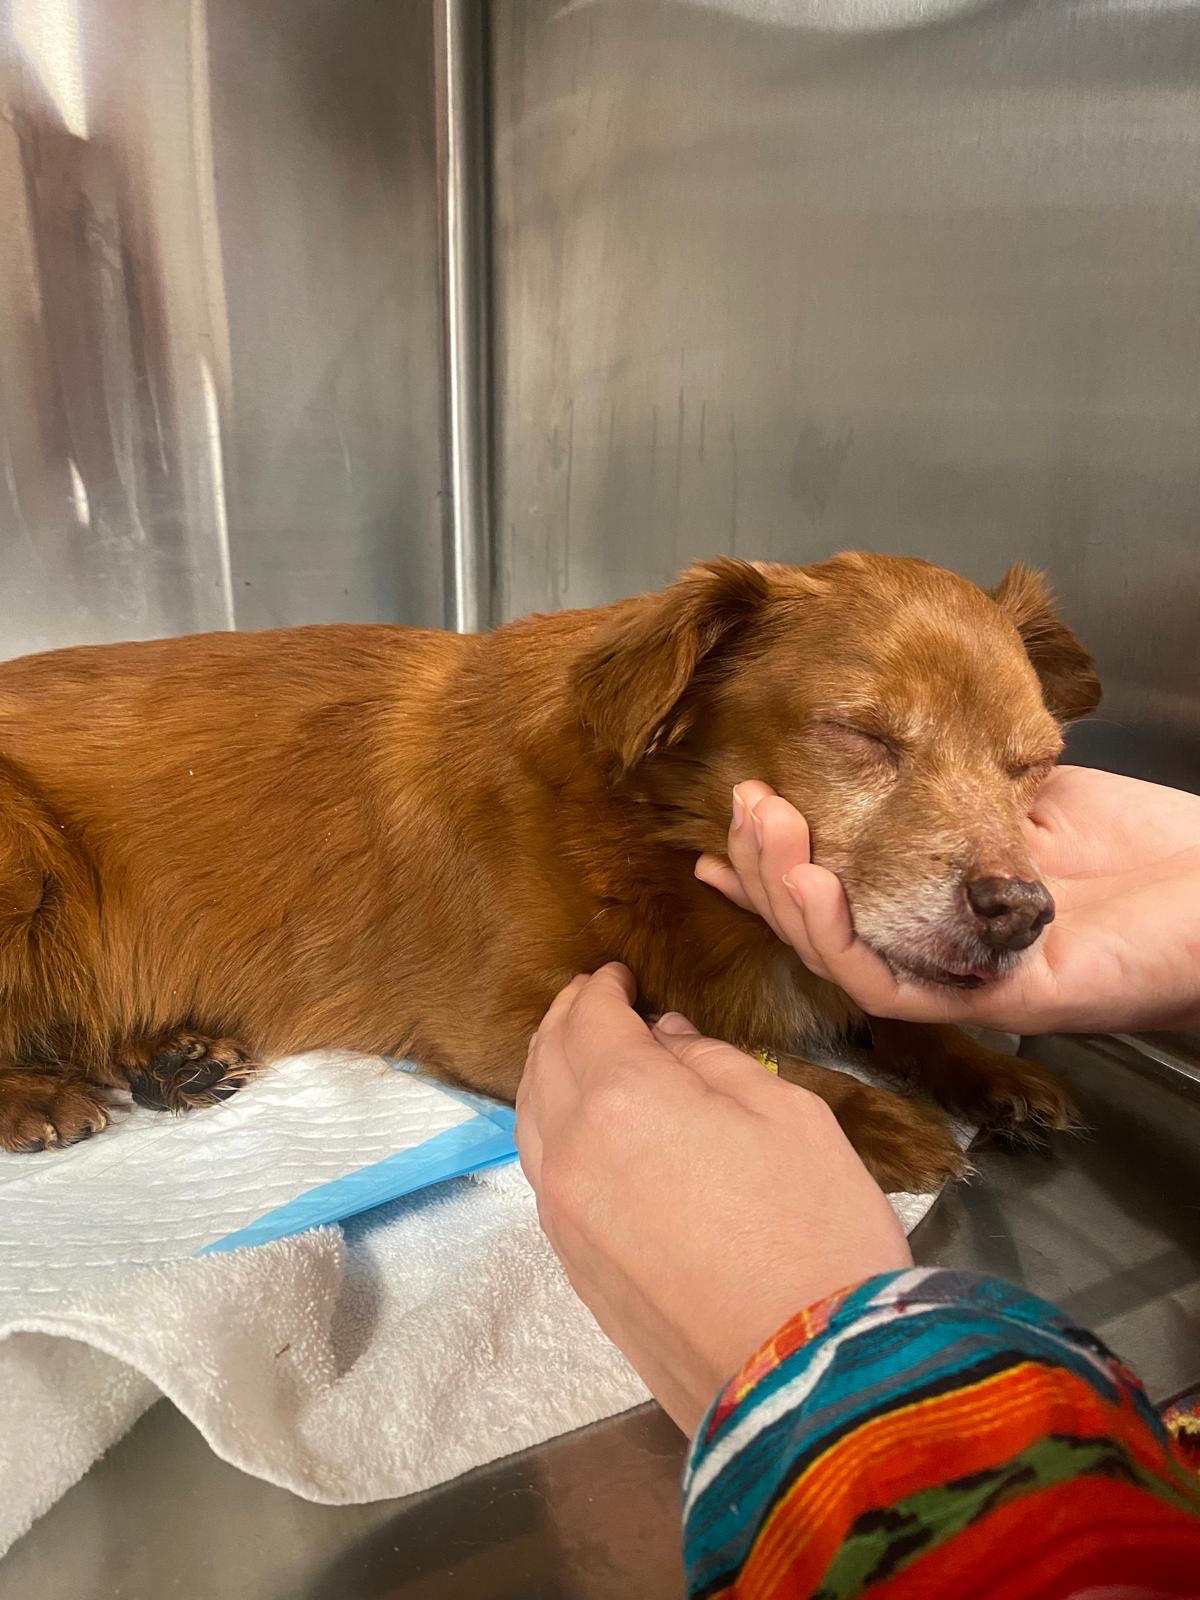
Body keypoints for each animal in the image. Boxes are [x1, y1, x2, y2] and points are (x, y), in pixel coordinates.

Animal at [0, 552, 1100, 1191]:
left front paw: (987, 1069)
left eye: (1032, 762)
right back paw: (40, 1095)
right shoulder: (504, 1014)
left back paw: (172, 1058)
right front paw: (866, 1112)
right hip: (26, 858)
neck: (655, 834)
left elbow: (886, 1007)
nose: (1020, 912)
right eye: (862, 735)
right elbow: (706, 1036)